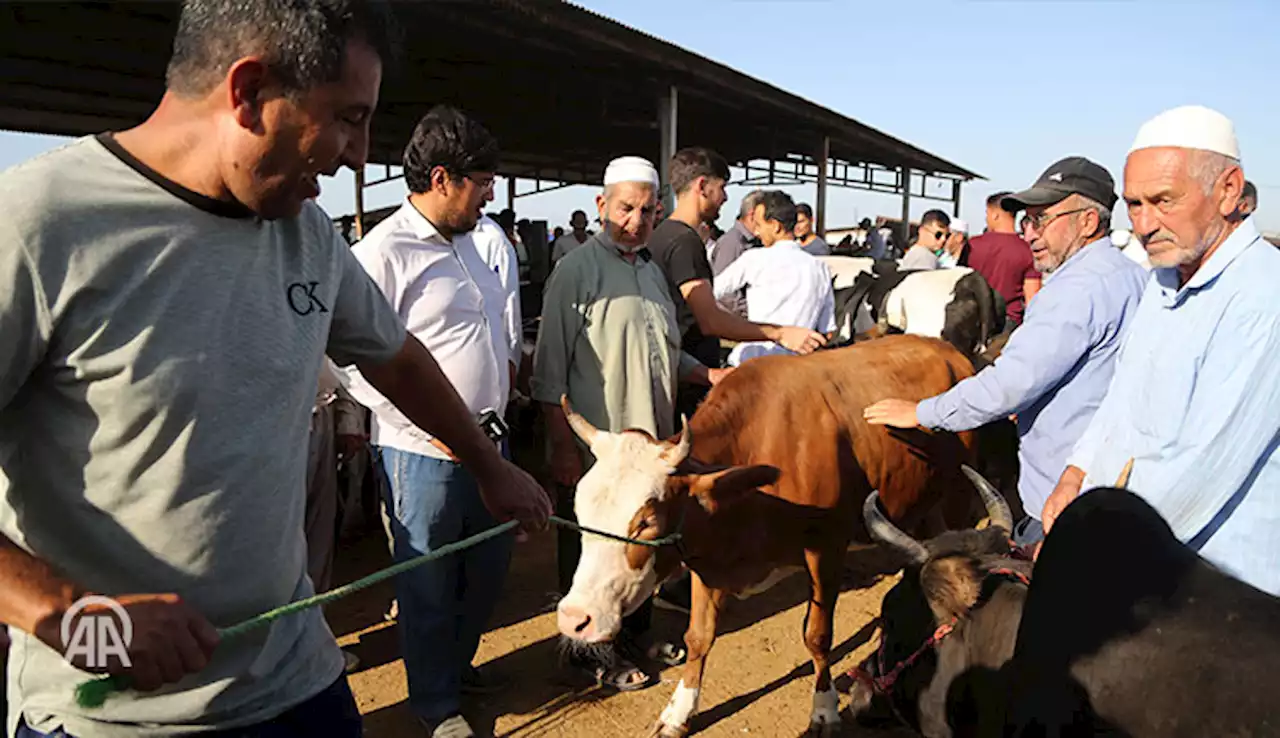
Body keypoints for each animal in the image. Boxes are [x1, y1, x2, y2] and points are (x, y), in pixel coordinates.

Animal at [555, 335, 1003, 736]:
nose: (575, 618)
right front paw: (679, 712)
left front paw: (824, 710)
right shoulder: (705, 560)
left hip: (959, 493)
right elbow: (698, 636)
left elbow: (817, 636)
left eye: (646, 520)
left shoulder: (825, 548)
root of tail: (945, 348)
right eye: (579, 509)